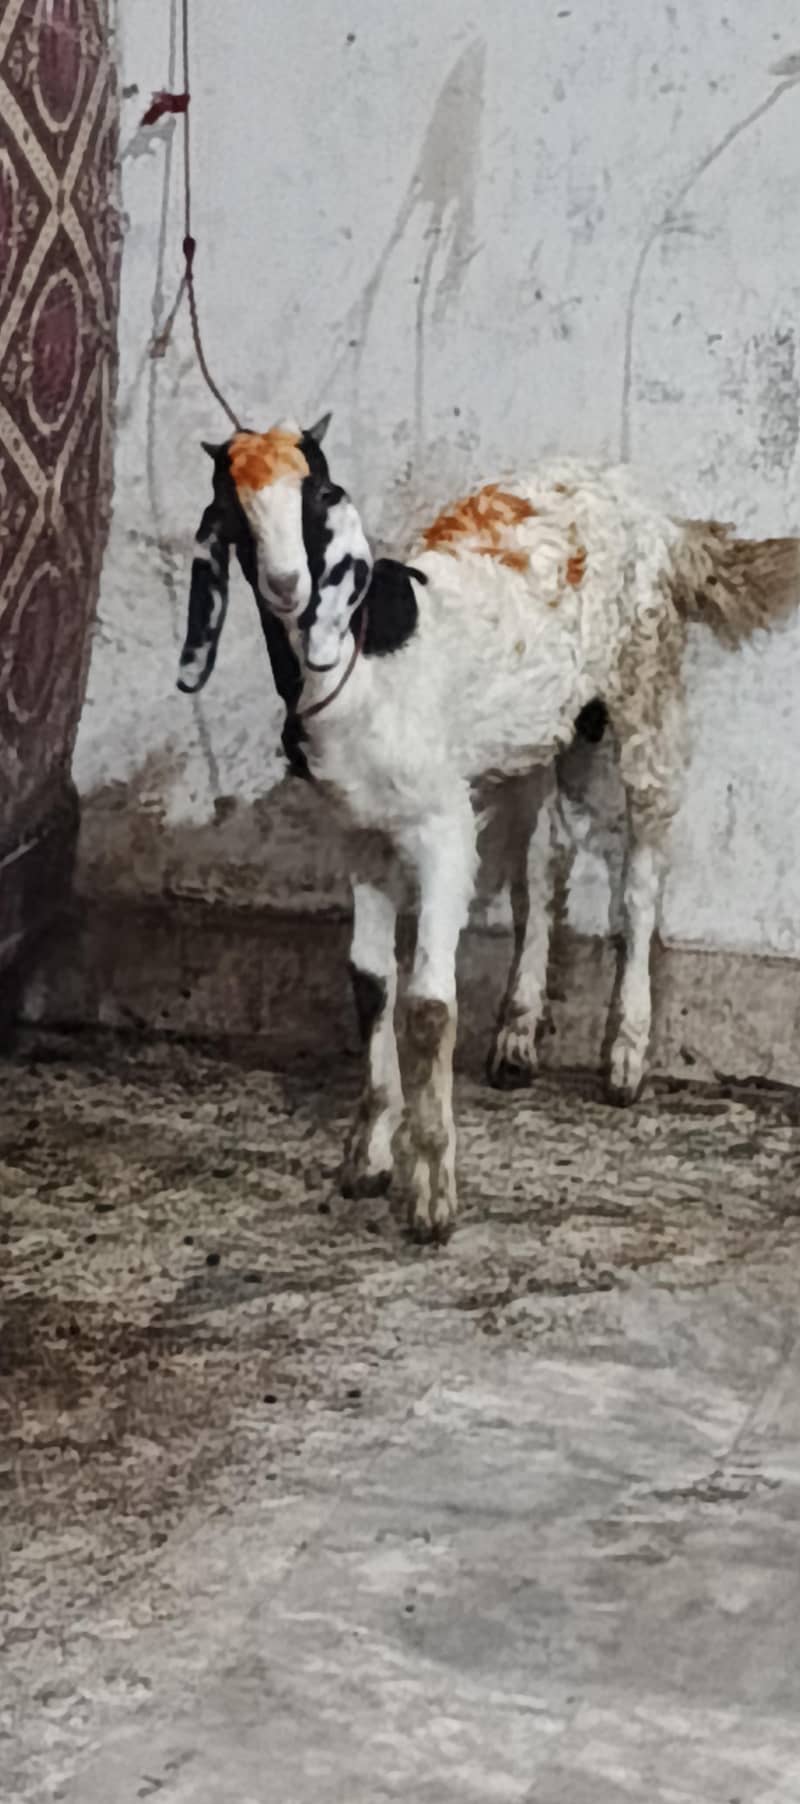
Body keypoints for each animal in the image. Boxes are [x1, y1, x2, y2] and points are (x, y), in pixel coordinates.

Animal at [177, 415, 799, 1241]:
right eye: (236, 517)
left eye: (318, 500)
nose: (287, 584)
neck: (367, 660)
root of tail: (657, 514)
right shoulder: (360, 833)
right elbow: (371, 983)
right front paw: (368, 1155)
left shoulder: (440, 827)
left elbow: (428, 1006)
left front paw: (432, 1192)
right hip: (543, 741)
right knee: (542, 869)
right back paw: (518, 1035)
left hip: (646, 699)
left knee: (640, 878)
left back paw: (625, 1055)